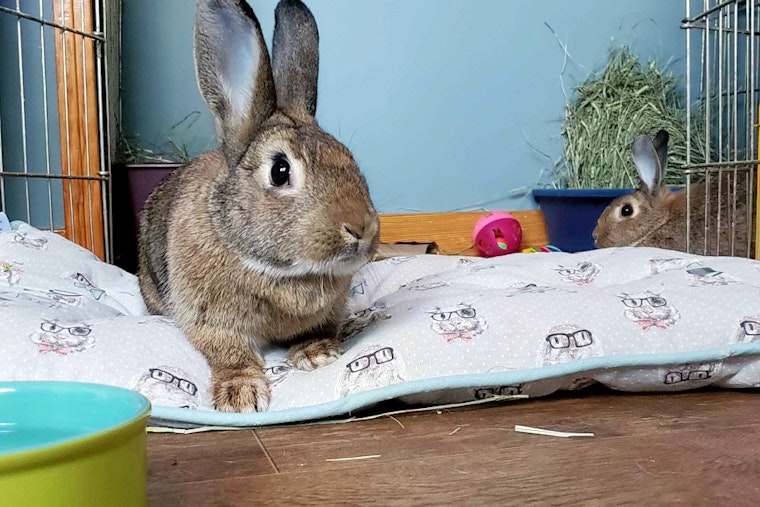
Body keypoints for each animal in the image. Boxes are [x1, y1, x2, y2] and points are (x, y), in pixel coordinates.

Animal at [138, 0, 379, 412]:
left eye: (348, 157)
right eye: (280, 171)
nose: (361, 228)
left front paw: (317, 353)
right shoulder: (210, 321)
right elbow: (231, 353)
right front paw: (241, 396)